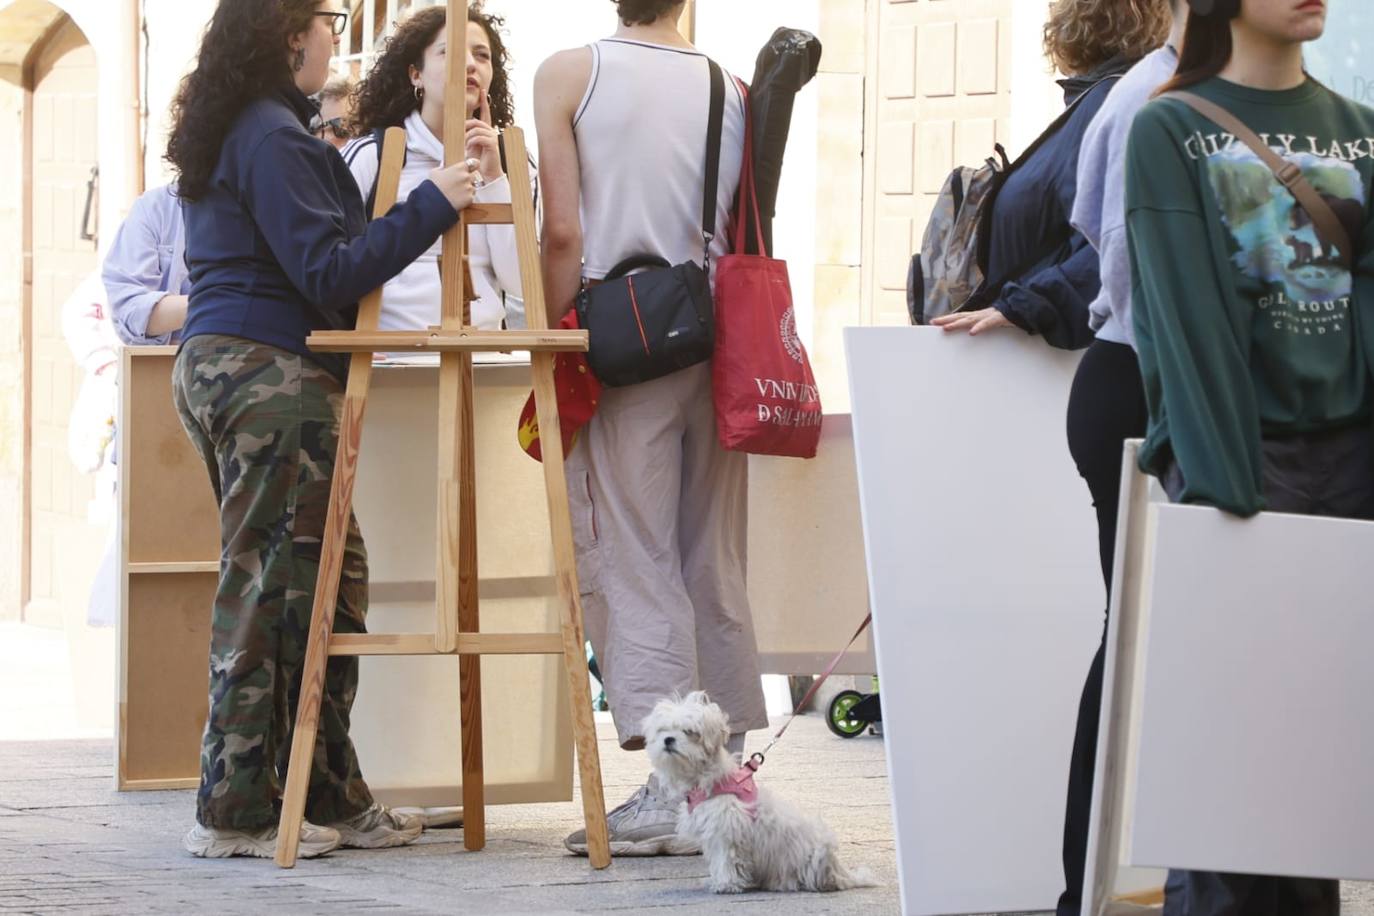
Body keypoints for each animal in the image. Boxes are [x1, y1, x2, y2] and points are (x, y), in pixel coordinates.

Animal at [643, 692, 879, 889]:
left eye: (690, 732)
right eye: (662, 731)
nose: (668, 740)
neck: (705, 778)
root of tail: (838, 871)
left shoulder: (727, 829)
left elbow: (726, 858)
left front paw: (726, 884)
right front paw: (717, 879)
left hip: (813, 854)